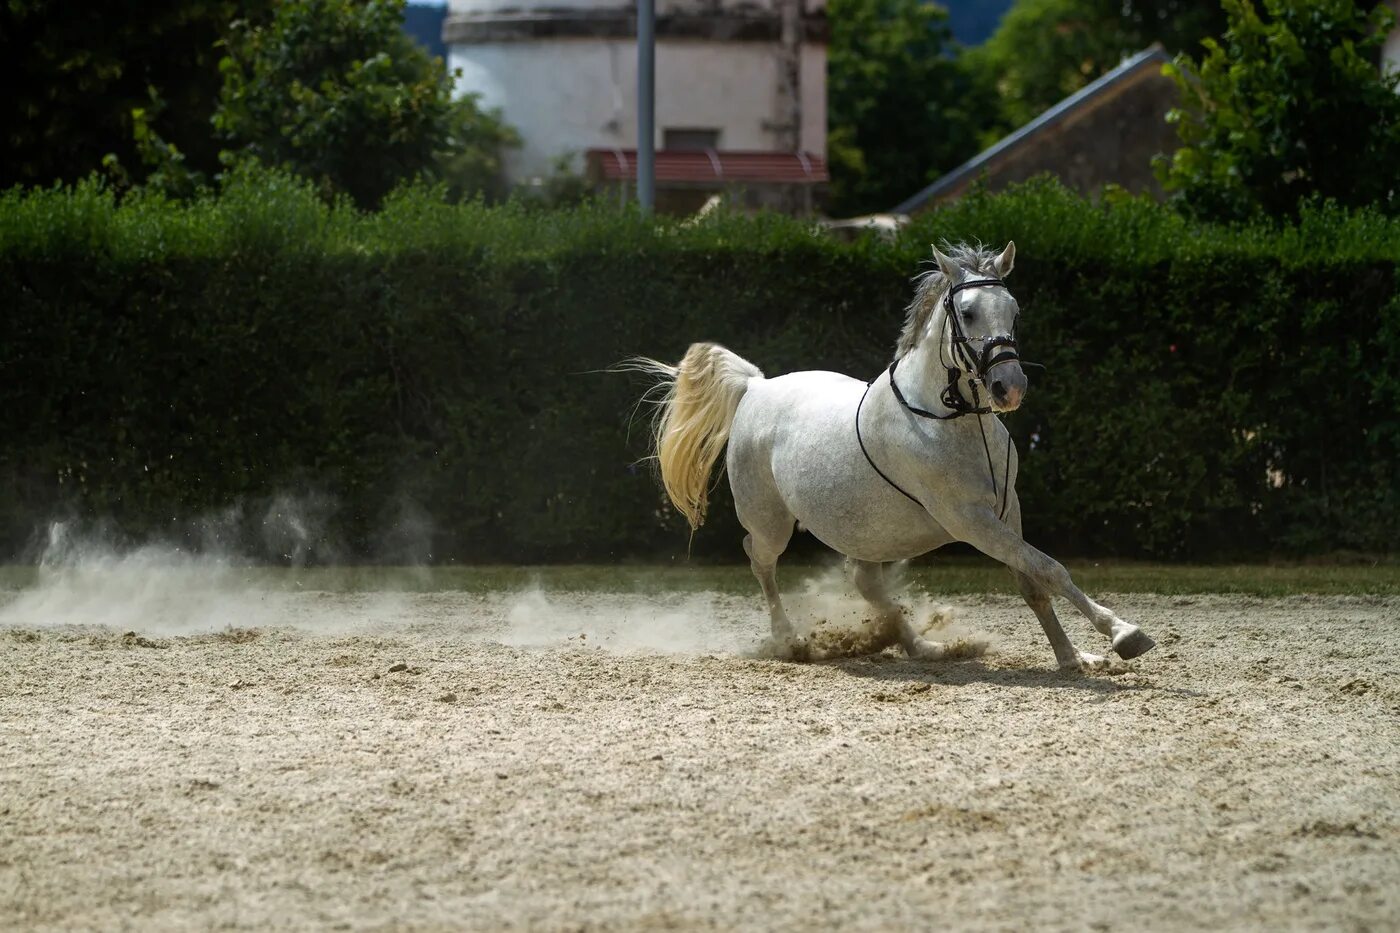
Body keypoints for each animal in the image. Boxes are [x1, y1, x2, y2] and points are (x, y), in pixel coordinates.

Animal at [641, 236, 1153, 664]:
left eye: (1014, 310)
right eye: (968, 313)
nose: (1009, 387)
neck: (952, 423)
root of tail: (755, 387)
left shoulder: (1008, 510)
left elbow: (1034, 582)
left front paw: (1073, 658)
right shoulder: (969, 520)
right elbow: (1049, 568)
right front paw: (1124, 634)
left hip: (866, 534)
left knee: (866, 584)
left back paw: (924, 646)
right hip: (771, 523)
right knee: (760, 559)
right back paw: (790, 641)